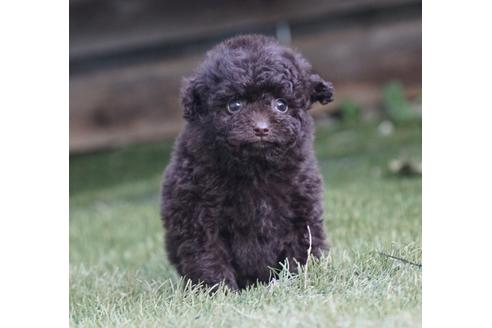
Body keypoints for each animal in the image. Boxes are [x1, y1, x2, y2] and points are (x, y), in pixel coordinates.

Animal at [161, 34, 334, 290]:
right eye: (234, 105)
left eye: (281, 105)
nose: (261, 128)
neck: (255, 170)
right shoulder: (198, 216)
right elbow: (208, 255)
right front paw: (218, 290)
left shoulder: (301, 207)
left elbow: (302, 245)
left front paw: (299, 278)